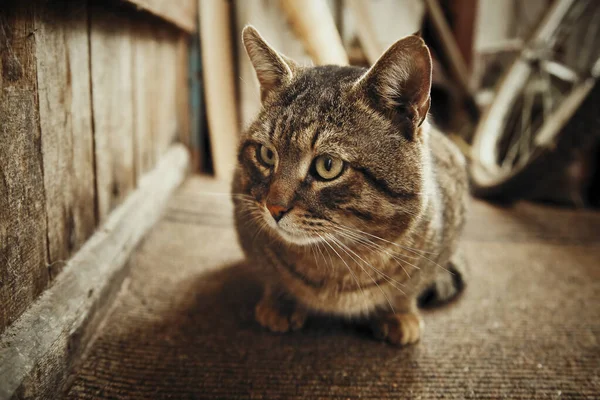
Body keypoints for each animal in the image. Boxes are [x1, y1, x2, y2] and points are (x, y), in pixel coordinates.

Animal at [231, 25, 468, 346]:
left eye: (327, 165)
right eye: (267, 154)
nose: (273, 207)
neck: (337, 261)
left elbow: (407, 291)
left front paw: (398, 314)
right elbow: (273, 277)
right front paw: (280, 304)